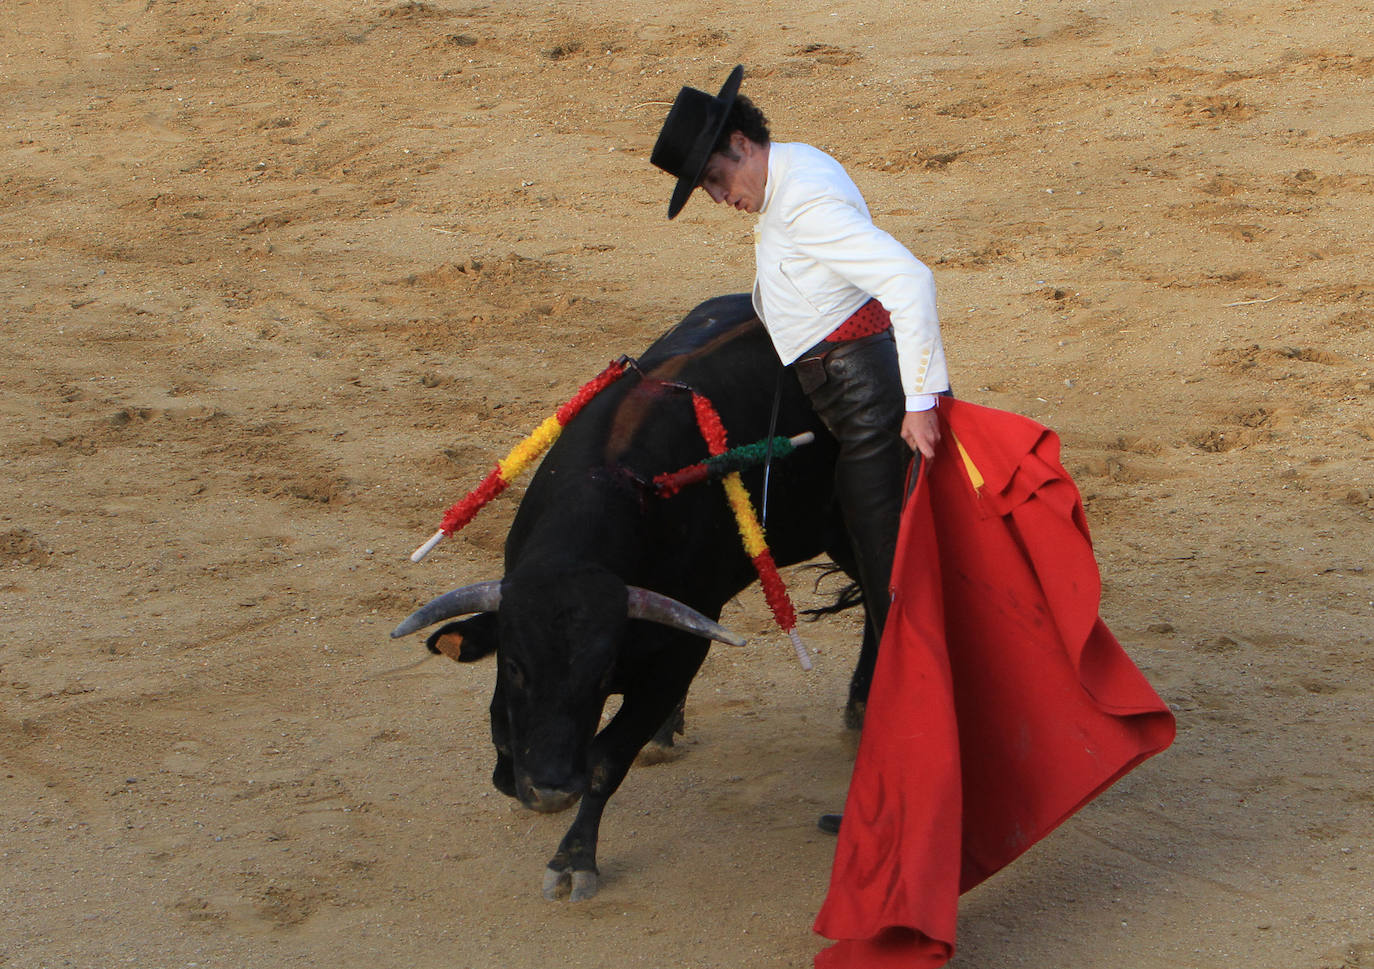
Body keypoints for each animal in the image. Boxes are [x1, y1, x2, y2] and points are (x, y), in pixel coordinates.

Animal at [390, 292, 879, 901]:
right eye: (517, 666)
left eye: (600, 675)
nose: (552, 789)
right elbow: (504, 726)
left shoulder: (679, 654)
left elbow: (606, 758)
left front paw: (574, 859)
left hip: (846, 526)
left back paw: (860, 708)